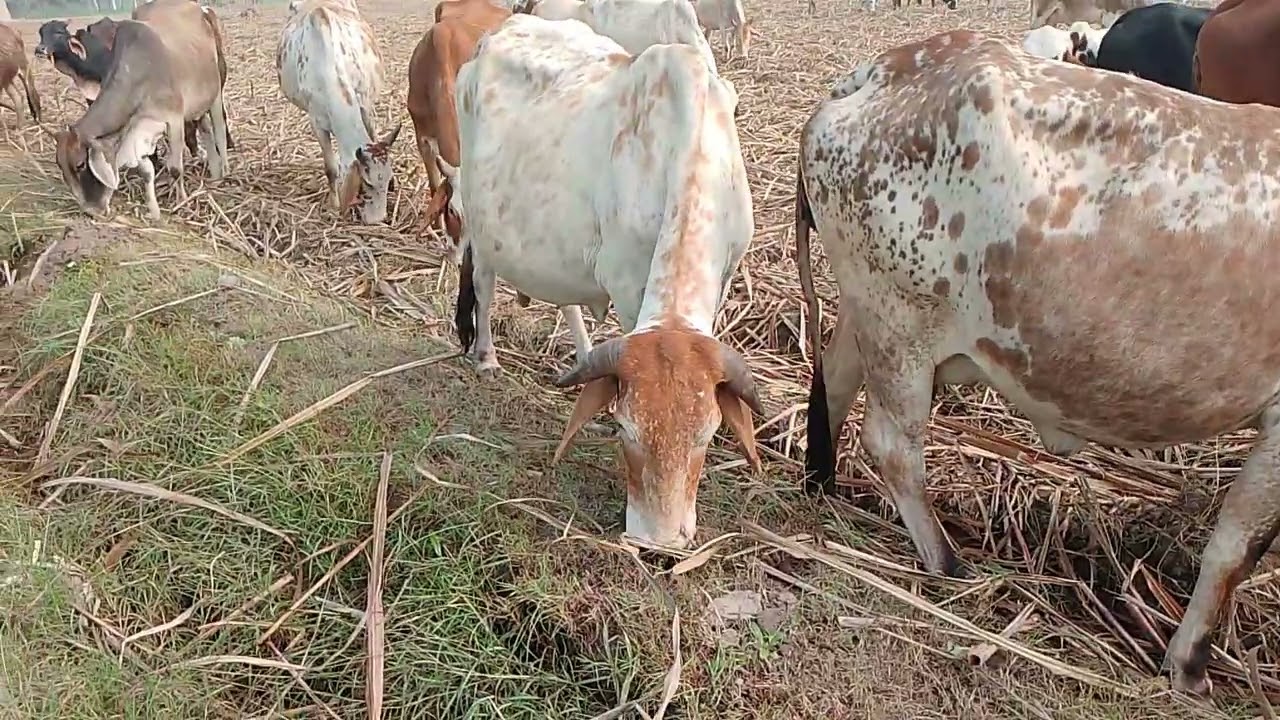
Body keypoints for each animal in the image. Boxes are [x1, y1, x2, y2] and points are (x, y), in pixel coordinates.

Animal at [54, 0, 230, 219]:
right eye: (61, 166)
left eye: (80, 165)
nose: (90, 211)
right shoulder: (139, 130)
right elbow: (146, 172)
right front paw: (154, 212)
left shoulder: (174, 120)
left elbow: (175, 169)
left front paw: (181, 202)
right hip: (198, 106)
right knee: (206, 131)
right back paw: (215, 175)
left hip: (215, 94)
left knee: (220, 132)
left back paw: (225, 171)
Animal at [277, 0, 402, 225]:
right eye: (366, 183)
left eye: (388, 179)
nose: (377, 220)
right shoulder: (316, 123)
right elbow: (331, 168)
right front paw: (334, 206)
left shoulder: (366, 106)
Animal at [426, 15, 762, 548]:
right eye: (626, 430)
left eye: (707, 435)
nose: (657, 542)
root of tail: (499, 30)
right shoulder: (627, 286)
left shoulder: (726, 274)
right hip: (479, 219)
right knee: (482, 284)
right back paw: (487, 356)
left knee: (566, 301)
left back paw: (583, 356)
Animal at [795, 29, 1280, 697]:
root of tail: (885, 69)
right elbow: (1237, 547)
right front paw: (1187, 666)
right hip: (900, 325)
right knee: (893, 445)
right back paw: (946, 563)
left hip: (870, 312)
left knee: (836, 384)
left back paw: (821, 483)